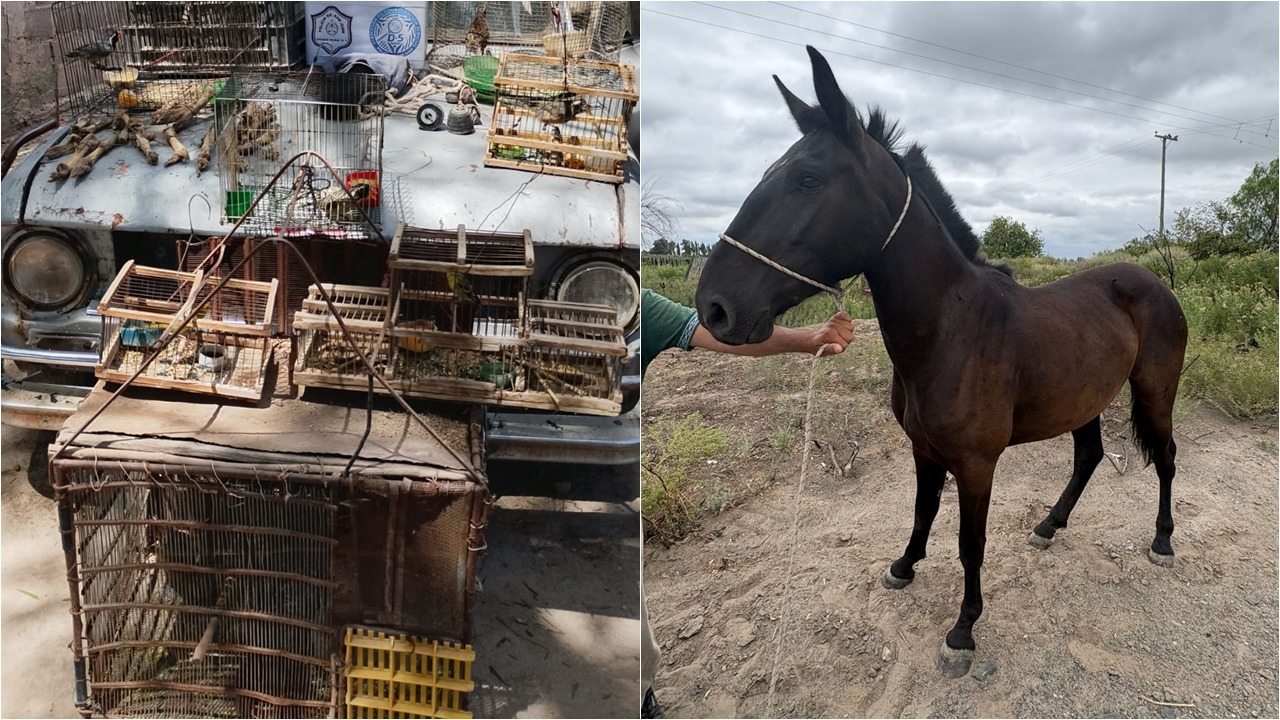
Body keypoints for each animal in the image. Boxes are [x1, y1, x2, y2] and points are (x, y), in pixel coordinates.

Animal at [694, 46, 1188, 678]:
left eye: (808, 179)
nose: (715, 308)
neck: (951, 333)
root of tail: (1154, 282)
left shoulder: (976, 465)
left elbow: (969, 545)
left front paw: (963, 630)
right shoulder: (923, 450)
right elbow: (923, 512)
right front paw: (903, 568)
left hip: (1155, 391)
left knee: (1166, 459)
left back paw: (1163, 543)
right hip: (1085, 400)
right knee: (1089, 458)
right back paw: (1048, 527)